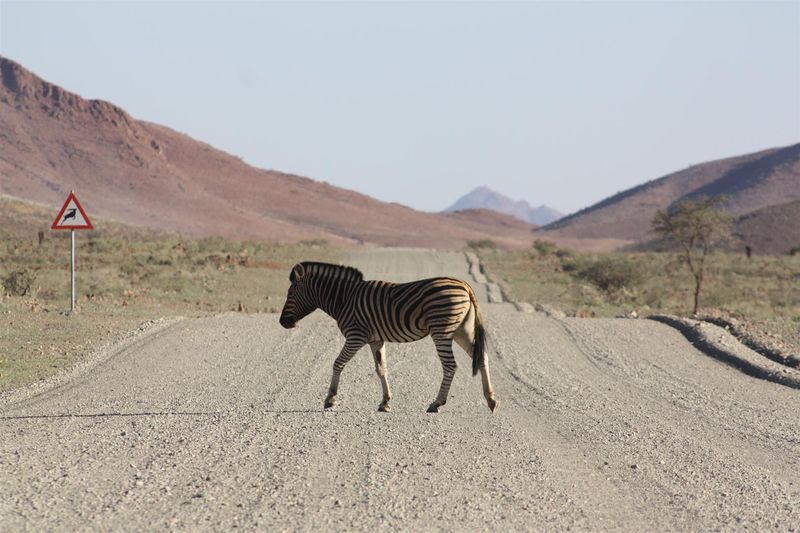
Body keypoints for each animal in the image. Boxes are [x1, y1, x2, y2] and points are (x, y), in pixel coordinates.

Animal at [278, 261, 498, 413]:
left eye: (290, 293)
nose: (282, 323)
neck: (344, 299)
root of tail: (465, 285)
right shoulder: (375, 339)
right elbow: (381, 369)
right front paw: (385, 402)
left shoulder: (356, 336)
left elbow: (338, 363)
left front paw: (330, 399)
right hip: (462, 330)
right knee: (482, 357)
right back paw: (491, 400)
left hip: (442, 330)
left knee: (450, 365)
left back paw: (436, 404)